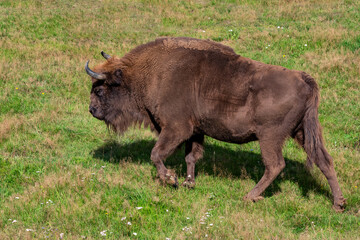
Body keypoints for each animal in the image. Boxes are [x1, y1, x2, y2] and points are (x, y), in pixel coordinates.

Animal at [84, 36, 346, 211]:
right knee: (324, 160)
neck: (149, 73)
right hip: (303, 131)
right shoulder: (194, 132)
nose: (92, 110)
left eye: (99, 89)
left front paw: (171, 179)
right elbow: (191, 157)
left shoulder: (176, 129)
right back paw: (338, 204)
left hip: (270, 137)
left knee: (275, 165)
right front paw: (188, 183)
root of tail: (304, 79)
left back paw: (249, 196)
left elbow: (156, 154)